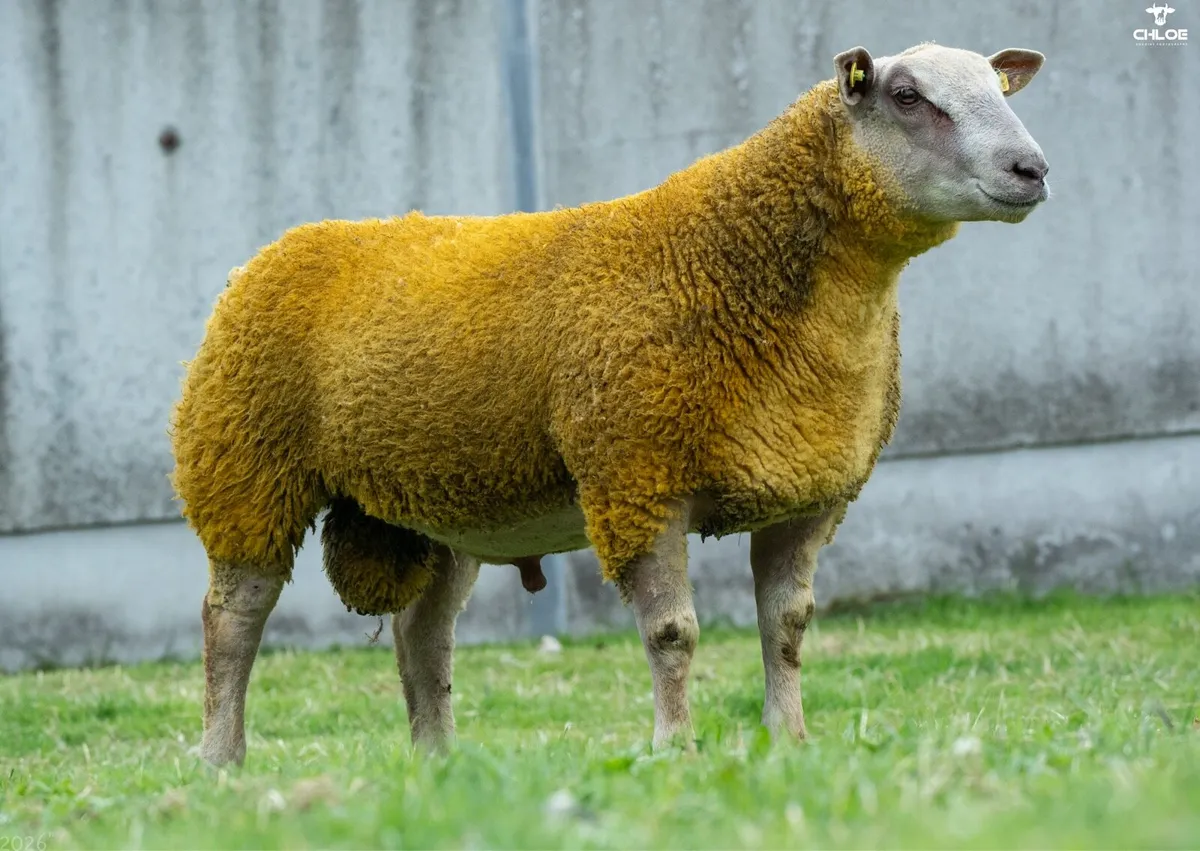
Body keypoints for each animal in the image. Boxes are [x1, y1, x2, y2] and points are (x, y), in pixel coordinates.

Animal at [170, 42, 1050, 767]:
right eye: (906, 95)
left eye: (996, 88)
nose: (1031, 168)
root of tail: (274, 252)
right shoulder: (637, 477)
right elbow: (672, 631)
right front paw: (675, 747)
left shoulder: (807, 493)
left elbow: (788, 629)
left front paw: (789, 740)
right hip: (244, 469)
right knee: (232, 619)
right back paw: (221, 759)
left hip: (440, 505)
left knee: (424, 637)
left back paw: (438, 764)